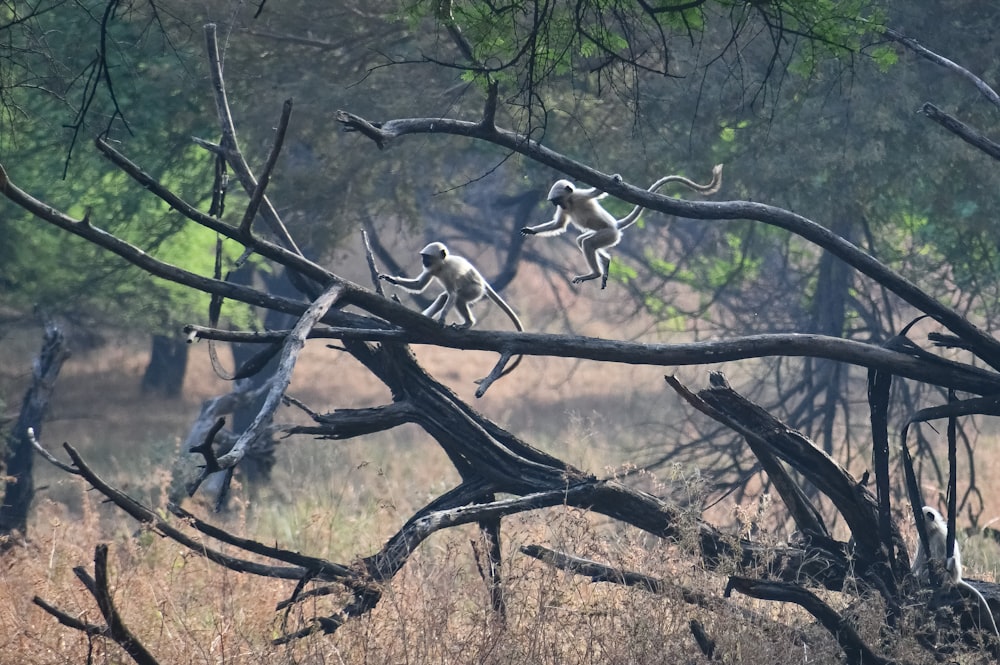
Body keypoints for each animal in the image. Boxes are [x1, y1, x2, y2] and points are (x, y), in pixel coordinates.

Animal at [378, 243, 528, 376]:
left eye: (427, 257)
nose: (423, 261)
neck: (443, 264)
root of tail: (483, 283)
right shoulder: (432, 269)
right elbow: (419, 285)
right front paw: (391, 279)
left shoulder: (449, 272)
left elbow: (453, 294)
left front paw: (442, 319)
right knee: (444, 297)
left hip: (474, 290)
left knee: (458, 298)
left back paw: (468, 323)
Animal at [520, 163, 724, 288]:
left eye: (556, 201)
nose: (558, 206)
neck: (570, 202)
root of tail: (616, 226)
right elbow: (559, 224)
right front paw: (531, 230)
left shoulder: (579, 196)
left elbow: (599, 192)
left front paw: (615, 178)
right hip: (606, 235)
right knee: (582, 241)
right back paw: (605, 263)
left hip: (609, 234)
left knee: (587, 243)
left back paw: (594, 273)